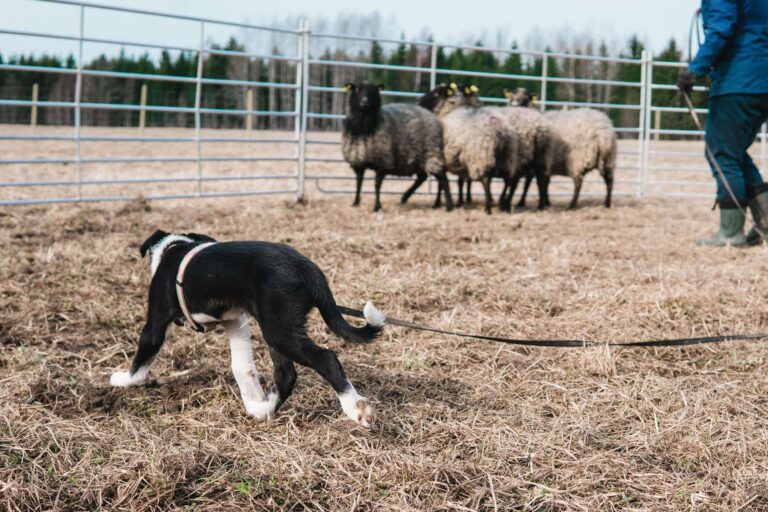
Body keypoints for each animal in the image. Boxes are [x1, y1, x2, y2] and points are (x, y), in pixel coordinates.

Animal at [109, 230, 384, 426]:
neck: (174, 248)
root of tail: (303, 264)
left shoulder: (155, 321)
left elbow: (143, 357)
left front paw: (124, 380)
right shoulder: (235, 321)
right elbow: (242, 367)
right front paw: (253, 396)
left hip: (278, 330)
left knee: (326, 359)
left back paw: (356, 408)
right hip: (277, 325)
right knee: (286, 375)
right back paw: (262, 409)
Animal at [340, 81, 450, 212]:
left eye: (373, 90)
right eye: (356, 89)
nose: (364, 102)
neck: (365, 126)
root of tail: (433, 116)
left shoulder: (382, 161)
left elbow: (377, 185)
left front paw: (376, 207)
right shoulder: (358, 161)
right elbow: (358, 183)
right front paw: (355, 202)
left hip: (432, 153)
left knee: (441, 179)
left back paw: (442, 204)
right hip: (419, 159)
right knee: (423, 178)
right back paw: (407, 197)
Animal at [416, 83, 520, 214]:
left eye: (436, 93)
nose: (419, 101)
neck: (449, 111)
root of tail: (500, 129)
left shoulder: (443, 158)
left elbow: (441, 183)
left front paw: (437, 203)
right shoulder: (460, 160)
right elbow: (461, 182)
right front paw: (461, 201)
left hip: (480, 156)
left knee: (486, 181)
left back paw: (487, 209)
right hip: (508, 158)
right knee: (507, 180)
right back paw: (503, 204)